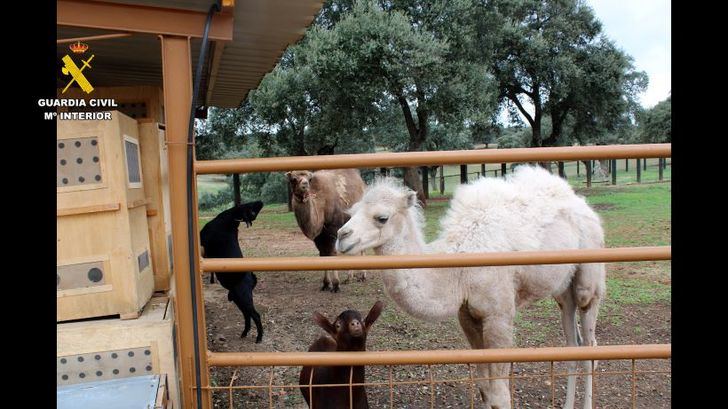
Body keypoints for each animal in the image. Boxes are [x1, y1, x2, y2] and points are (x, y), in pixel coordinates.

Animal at [199, 200, 264, 342]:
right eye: (253, 211)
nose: (260, 202)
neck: (229, 221)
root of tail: (252, 279)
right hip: (238, 299)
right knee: (247, 315)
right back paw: (244, 333)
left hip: (244, 297)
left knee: (255, 315)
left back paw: (259, 337)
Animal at [338, 166, 604, 408]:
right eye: (351, 212)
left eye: (381, 217)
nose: (342, 236)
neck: (458, 270)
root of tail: (584, 205)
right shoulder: (468, 315)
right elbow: (485, 389)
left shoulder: (499, 316)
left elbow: (500, 395)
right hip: (563, 288)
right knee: (573, 344)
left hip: (589, 278)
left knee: (590, 345)